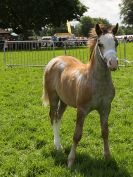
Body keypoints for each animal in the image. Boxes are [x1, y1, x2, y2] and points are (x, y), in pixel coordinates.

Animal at [42, 23, 118, 167]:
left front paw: (107, 157)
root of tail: (54, 60)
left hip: (64, 101)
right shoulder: (82, 110)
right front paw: (70, 161)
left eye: (116, 43)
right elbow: (77, 135)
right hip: (53, 97)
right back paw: (58, 146)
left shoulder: (106, 109)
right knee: (53, 117)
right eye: (100, 44)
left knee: (58, 118)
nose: (113, 64)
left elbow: (105, 132)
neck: (96, 82)